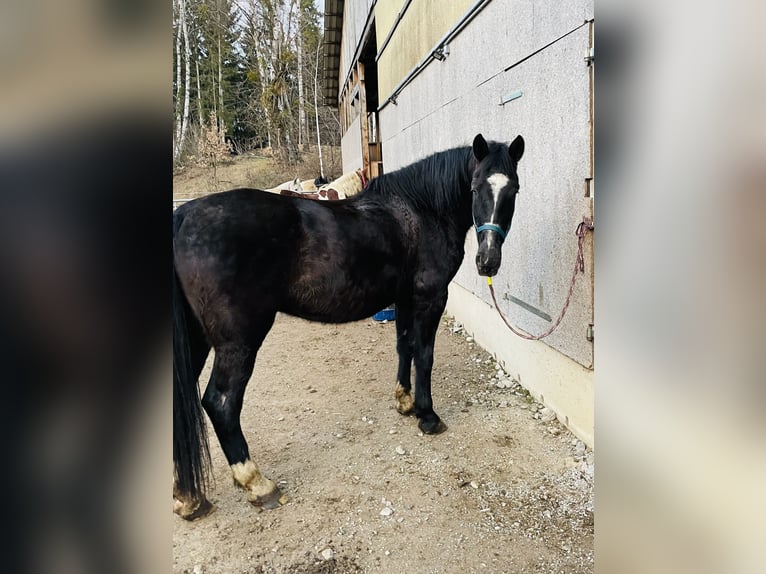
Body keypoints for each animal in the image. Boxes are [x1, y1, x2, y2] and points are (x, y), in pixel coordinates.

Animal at [174, 135, 524, 520]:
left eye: (514, 189)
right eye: (475, 188)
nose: (488, 261)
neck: (421, 211)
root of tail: (184, 216)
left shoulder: (404, 298)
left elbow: (404, 346)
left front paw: (404, 402)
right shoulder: (430, 297)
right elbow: (425, 355)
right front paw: (427, 415)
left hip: (196, 339)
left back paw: (188, 497)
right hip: (239, 341)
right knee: (221, 403)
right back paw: (258, 484)